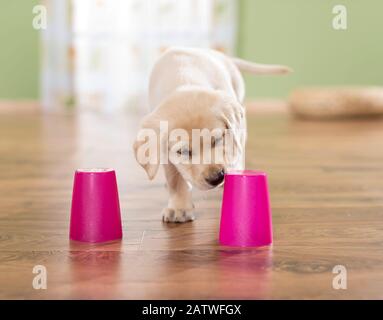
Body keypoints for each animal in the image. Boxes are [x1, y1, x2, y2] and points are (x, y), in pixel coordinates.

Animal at [134, 47, 290, 222]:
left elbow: (235, 152)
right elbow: (175, 180)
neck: (184, 80)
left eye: (218, 139)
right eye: (183, 151)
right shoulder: (166, 155)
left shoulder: (235, 132)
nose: (216, 178)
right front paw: (179, 208)